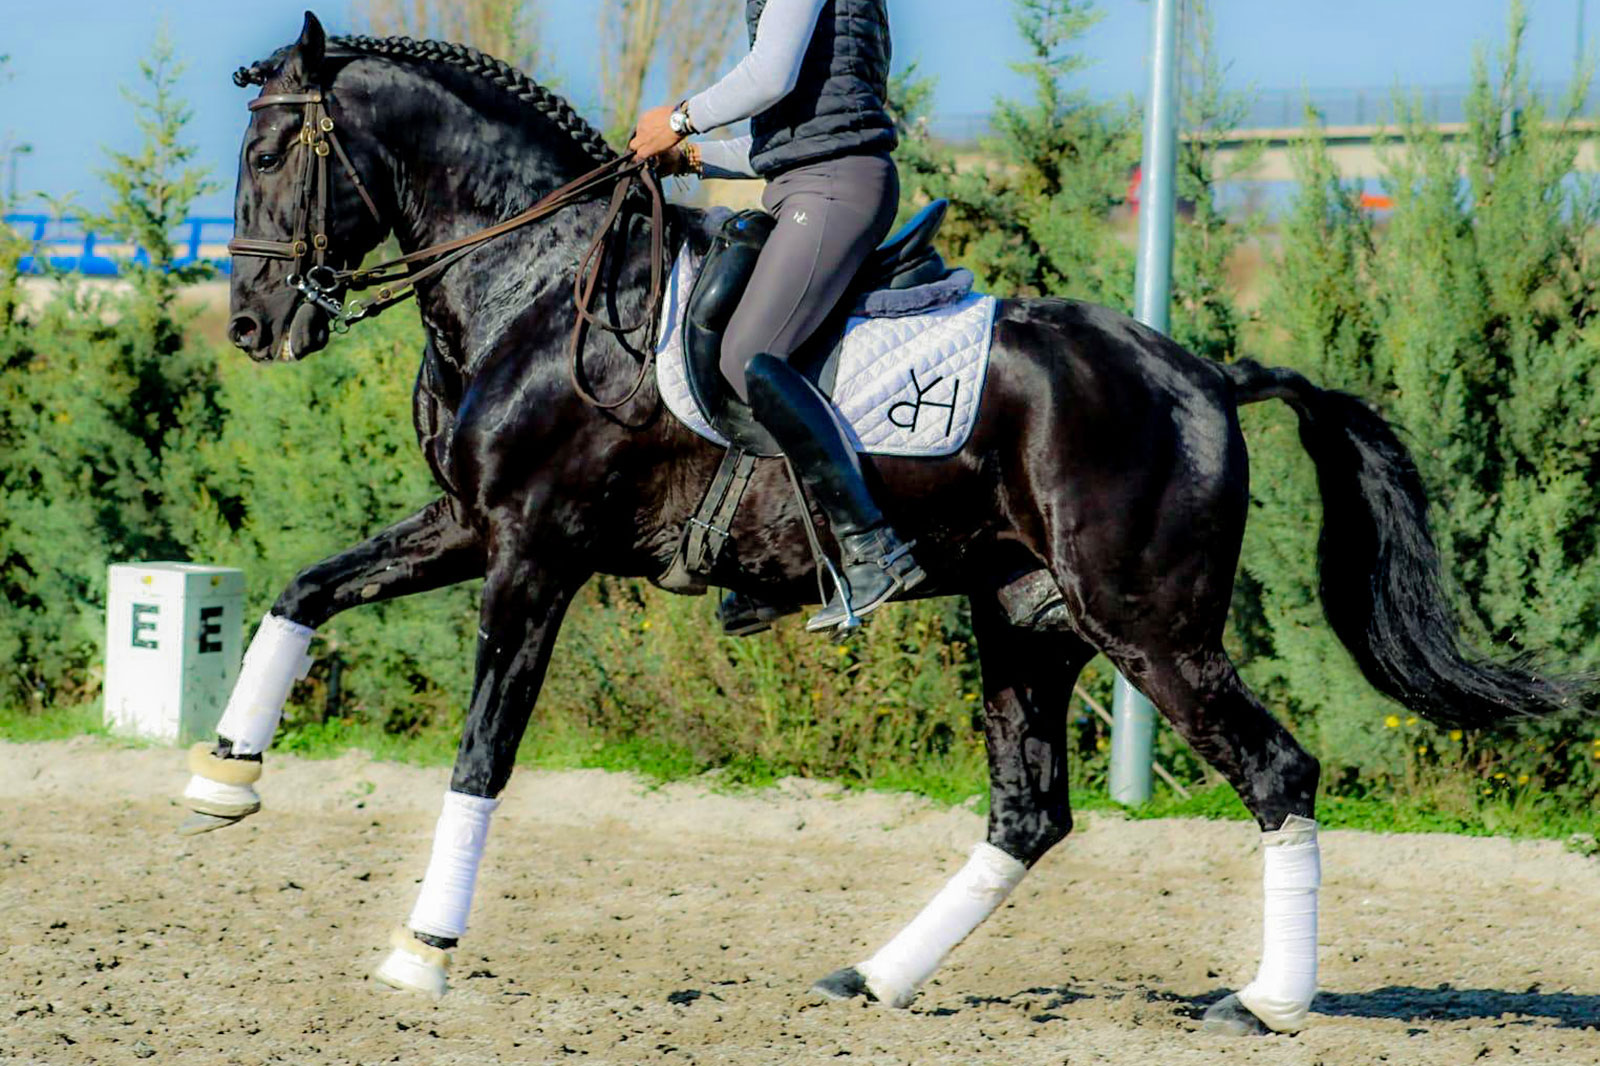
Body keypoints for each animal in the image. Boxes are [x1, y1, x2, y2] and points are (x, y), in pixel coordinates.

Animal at [191, 13, 1590, 1035]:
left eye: (266, 158)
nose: (255, 327)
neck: (537, 282)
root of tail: (1205, 376)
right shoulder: (467, 523)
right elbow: (303, 587)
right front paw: (223, 778)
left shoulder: (534, 554)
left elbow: (481, 753)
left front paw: (421, 950)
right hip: (1027, 620)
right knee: (1028, 814)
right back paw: (875, 977)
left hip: (1145, 623)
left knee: (1275, 772)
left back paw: (1266, 1001)